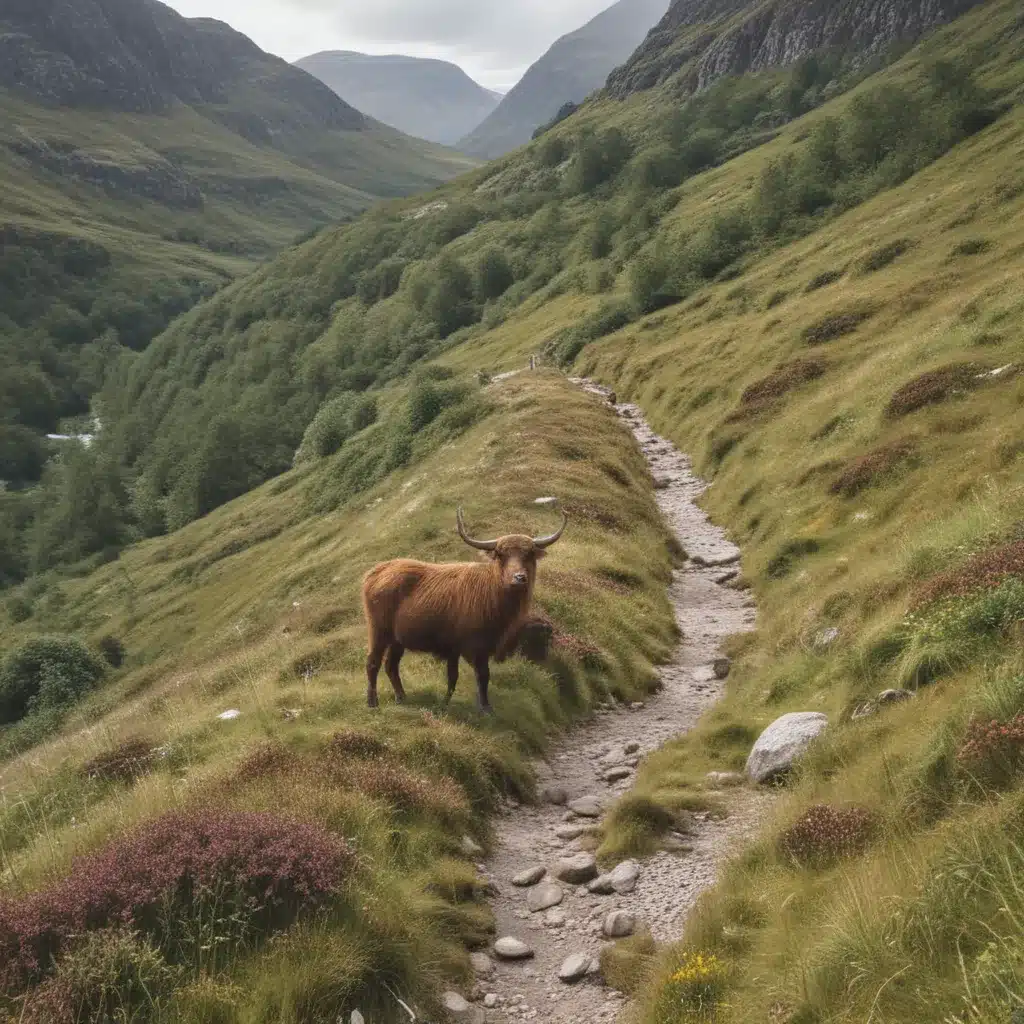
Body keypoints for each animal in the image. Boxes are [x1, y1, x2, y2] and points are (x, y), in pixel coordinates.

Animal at [360, 505, 569, 712]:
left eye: (529, 554)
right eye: (501, 555)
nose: (519, 578)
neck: (493, 594)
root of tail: (376, 572)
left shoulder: (460, 648)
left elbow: (456, 677)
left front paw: (446, 703)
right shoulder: (474, 646)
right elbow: (481, 675)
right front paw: (484, 707)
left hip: (397, 639)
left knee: (391, 665)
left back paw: (401, 697)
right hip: (378, 629)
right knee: (373, 662)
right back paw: (372, 702)